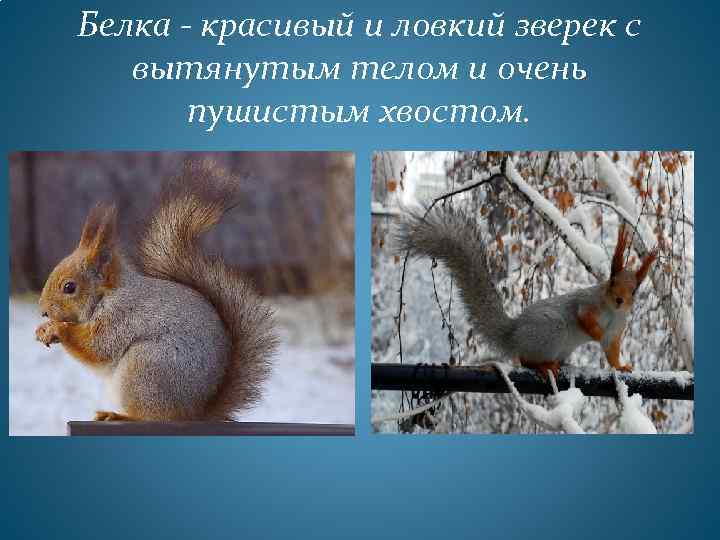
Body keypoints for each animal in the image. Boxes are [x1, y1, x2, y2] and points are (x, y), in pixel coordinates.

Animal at [35, 161, 278, 421]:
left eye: (69, 287)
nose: (43, 312)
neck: (107, 295)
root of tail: (195, 413)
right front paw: (44, 328)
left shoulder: (121, 316)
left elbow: (97, 347)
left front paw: (57, 329)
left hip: (146, 367)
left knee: (152, 416)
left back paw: (119, 416)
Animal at [396, 205, 657, 378]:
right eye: (612, 282)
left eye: (635, 290)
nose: (620, 300)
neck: (612, 310)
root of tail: (513, 335)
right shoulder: (587, 303)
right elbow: (584, 318)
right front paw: (595, 333)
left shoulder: (616, 329)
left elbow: (611, 350)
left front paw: (621, 366)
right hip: (551, 331)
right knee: (524, 359)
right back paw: (543, 365)